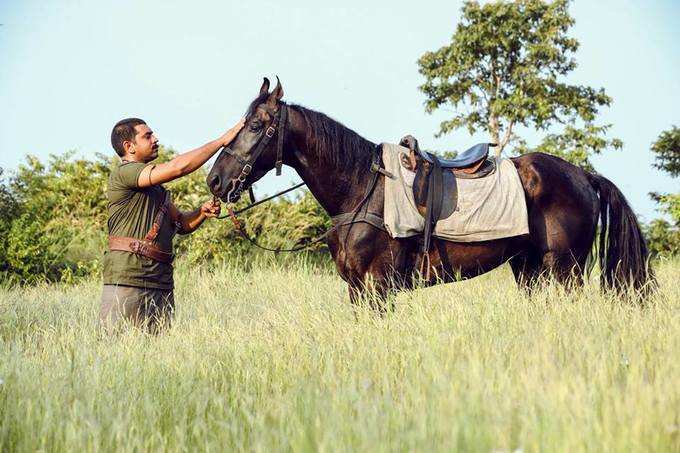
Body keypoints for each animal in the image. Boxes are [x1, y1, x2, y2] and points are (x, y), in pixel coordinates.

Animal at [209, 77, 652, 306]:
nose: (215, 181)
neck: (361, 190)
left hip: (564, 271)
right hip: (529, 270)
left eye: (256, 125)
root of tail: (584, 176)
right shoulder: (356, 290)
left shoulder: (377, 288)